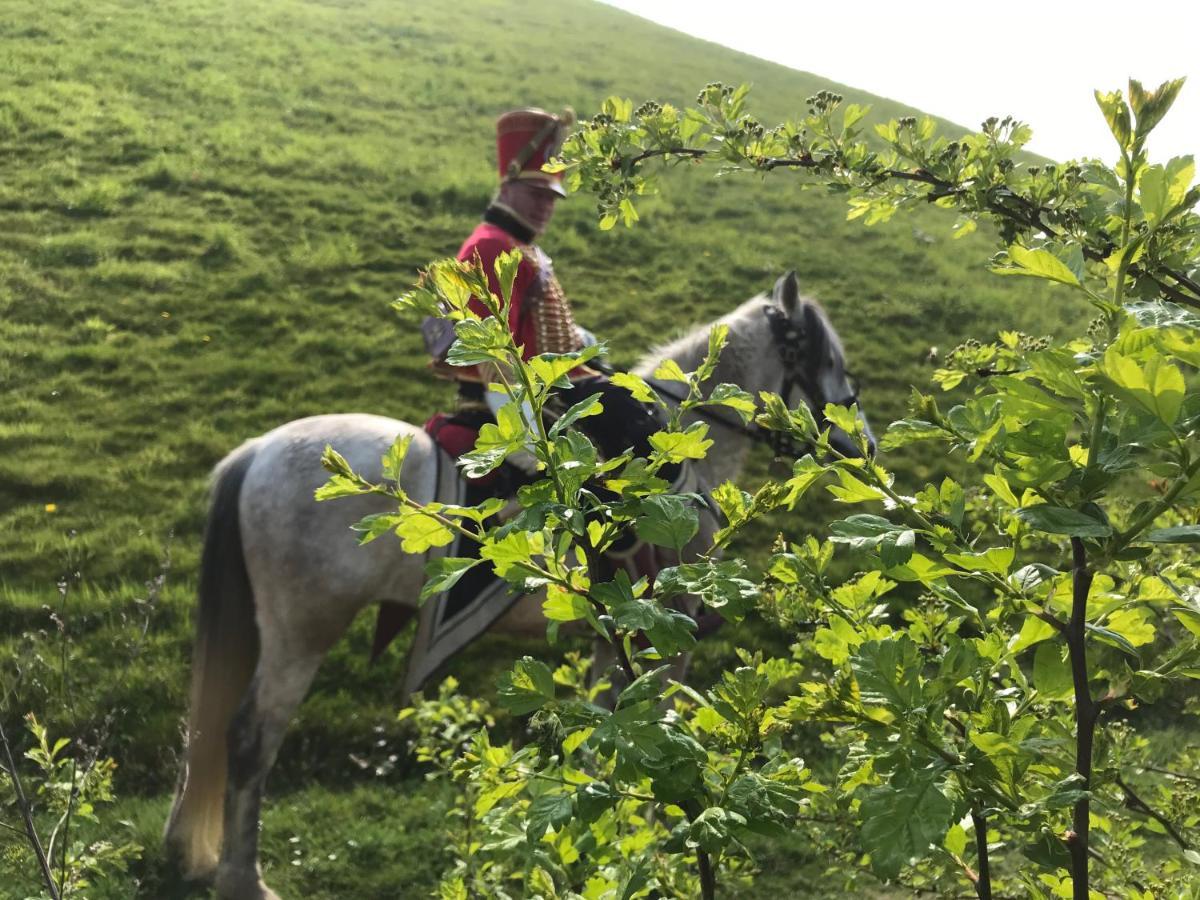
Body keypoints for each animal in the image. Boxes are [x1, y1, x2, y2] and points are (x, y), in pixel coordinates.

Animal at [162, 271, 873, 897]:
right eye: (830, 359)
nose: (861, 444)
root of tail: (257, 452)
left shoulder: (610, 644)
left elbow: (608, 734)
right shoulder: (666, 641)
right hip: (302, 636)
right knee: (250, 739)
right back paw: (242, 878)